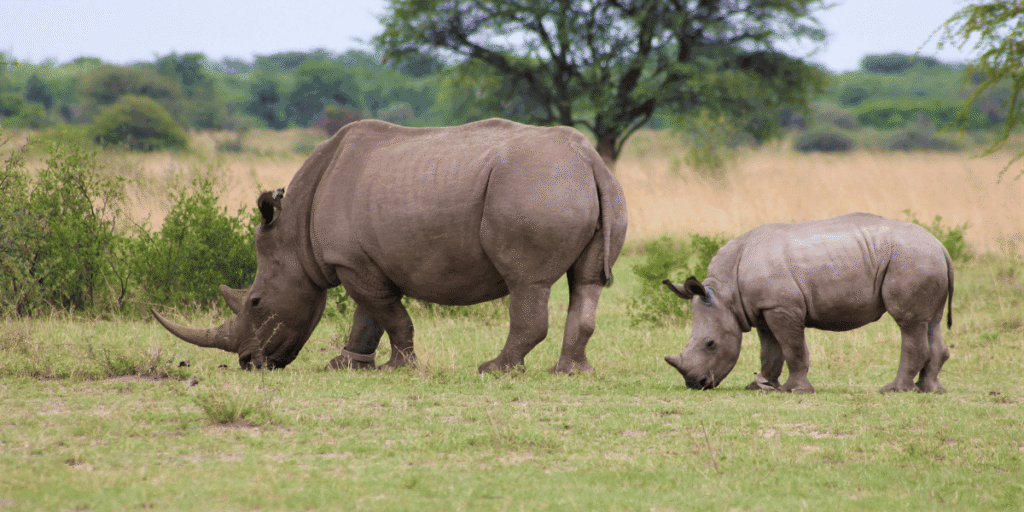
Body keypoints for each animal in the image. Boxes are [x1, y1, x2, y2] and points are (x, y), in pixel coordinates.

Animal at [152, 118, 628, 373]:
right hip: (575, 184)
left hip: (535, 185)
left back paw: (494, 370)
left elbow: (388, 316)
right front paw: (344, 366)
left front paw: (399, 368)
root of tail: (589, 159)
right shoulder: (360, 261)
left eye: (254, 302)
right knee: (586, 282)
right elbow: (369, 316)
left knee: (528, 282)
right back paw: (571, 372)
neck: (294, 235)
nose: (249, 363)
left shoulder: (350, 262)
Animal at [662, 213, 953, 393]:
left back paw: (894, 390)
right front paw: (761, 386)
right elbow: (770, 350)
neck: (725, 293)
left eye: (710, 344)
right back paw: (930, 390)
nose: (696, 384)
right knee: (931, 322)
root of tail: (941, 246)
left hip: (911, 259)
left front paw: (796, 390)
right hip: (924, 260)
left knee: (908, 322)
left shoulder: (782, 308)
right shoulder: (763, 309)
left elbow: (793, 348)